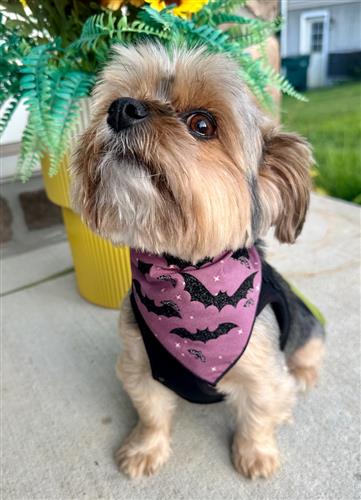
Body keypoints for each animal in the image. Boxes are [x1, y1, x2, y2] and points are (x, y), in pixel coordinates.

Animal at [70, 44, 324, 480]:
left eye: (202, 124)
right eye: (116, 98)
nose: (121, 109)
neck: (182, 267)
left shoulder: (263, 374)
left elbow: (259, 414)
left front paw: (255, 454)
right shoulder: (139, 366)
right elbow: (151, 413)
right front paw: (144, 448)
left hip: (308, 327)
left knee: (309, 351)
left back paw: (305, 375)